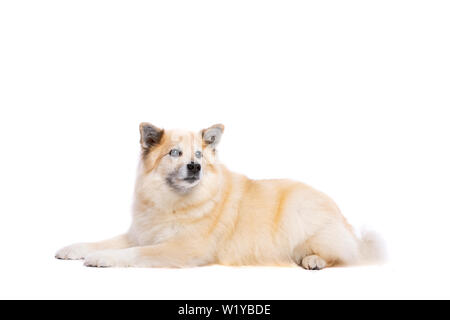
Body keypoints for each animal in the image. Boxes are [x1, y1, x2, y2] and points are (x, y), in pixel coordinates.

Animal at [54, 122, 382, 270]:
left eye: (198, 154)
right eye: (175, 153)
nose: (195, 166)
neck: (172, 203)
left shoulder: (183, 248)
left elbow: (133, 253)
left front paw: (103, 258)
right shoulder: (141, 234)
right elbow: (105, 240)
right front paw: (75, 248)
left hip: (299, 214)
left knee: (341, 254)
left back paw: (313, 259)